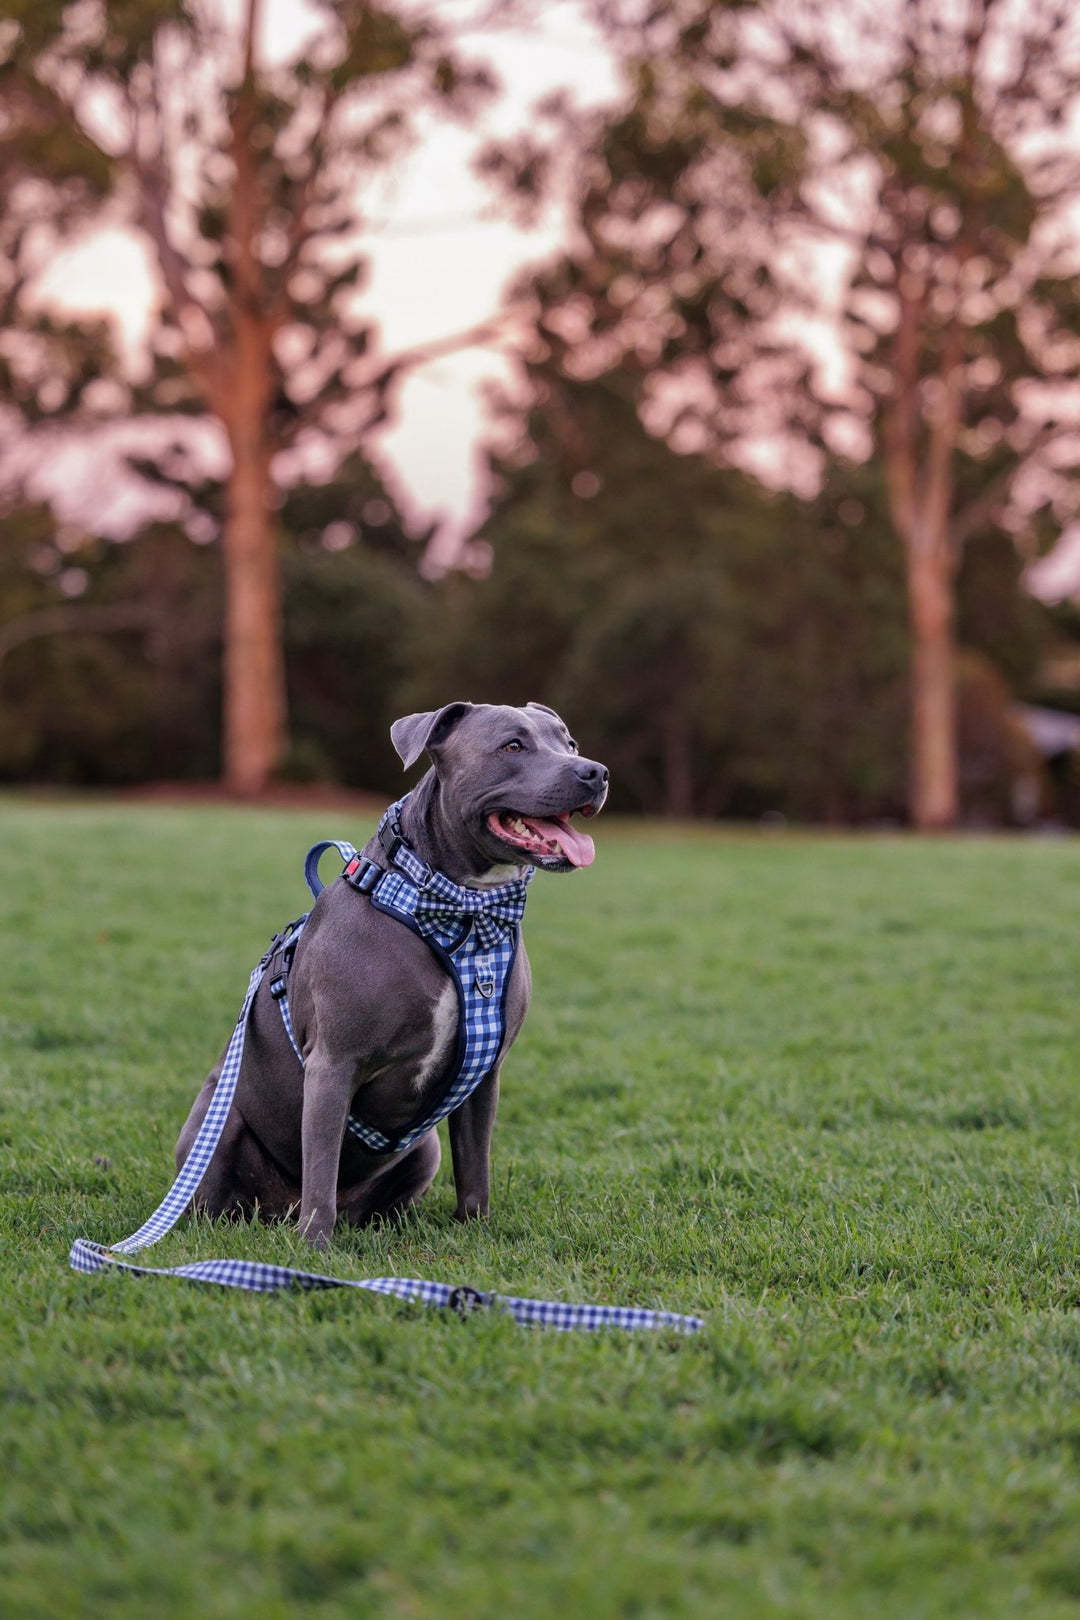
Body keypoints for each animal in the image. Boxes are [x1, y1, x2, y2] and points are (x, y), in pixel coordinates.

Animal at [173, 703, 605, 1244]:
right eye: (512, 745)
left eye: (569, 743)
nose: (595, 771)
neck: (461, 906)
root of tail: (278, 1210)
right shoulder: (333, 1065)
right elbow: (321, 1166)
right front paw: (314, 1248)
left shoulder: (486, 1070)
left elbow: (475, 1164)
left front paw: (475, 1228)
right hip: (221, 1120)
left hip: (425, 1149)